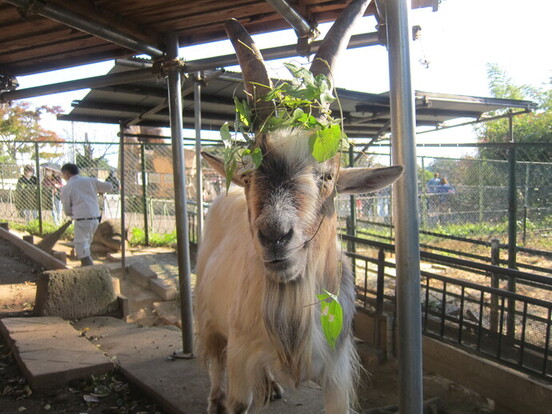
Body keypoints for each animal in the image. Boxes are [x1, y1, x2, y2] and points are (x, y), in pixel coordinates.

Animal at [196, 1, 404, 412]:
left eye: (326, 175)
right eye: (249, 175)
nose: (276, 237)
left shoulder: (337, 373)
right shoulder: (240, 355)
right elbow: (236, 391)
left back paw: (272, 385)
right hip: (206, 312)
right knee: (213, 356)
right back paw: (214, 398)